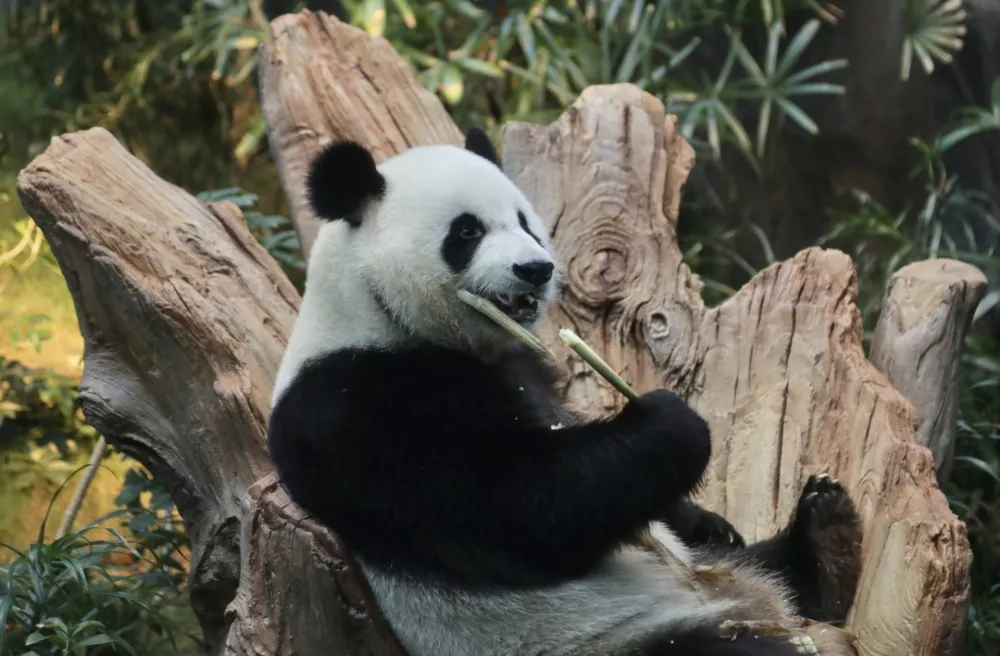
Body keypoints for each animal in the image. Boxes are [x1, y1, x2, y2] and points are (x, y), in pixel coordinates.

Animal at [268, 129, 868, 656]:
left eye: (524, 222)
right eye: (466, 232)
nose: (535, 269)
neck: (376, 312)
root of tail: (749, 605)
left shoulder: (521, 362)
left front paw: (709, 519)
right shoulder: (358, 404)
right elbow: (519, 504)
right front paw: (672, 424)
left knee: (767, 564)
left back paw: (824, 536)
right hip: (610, 640)